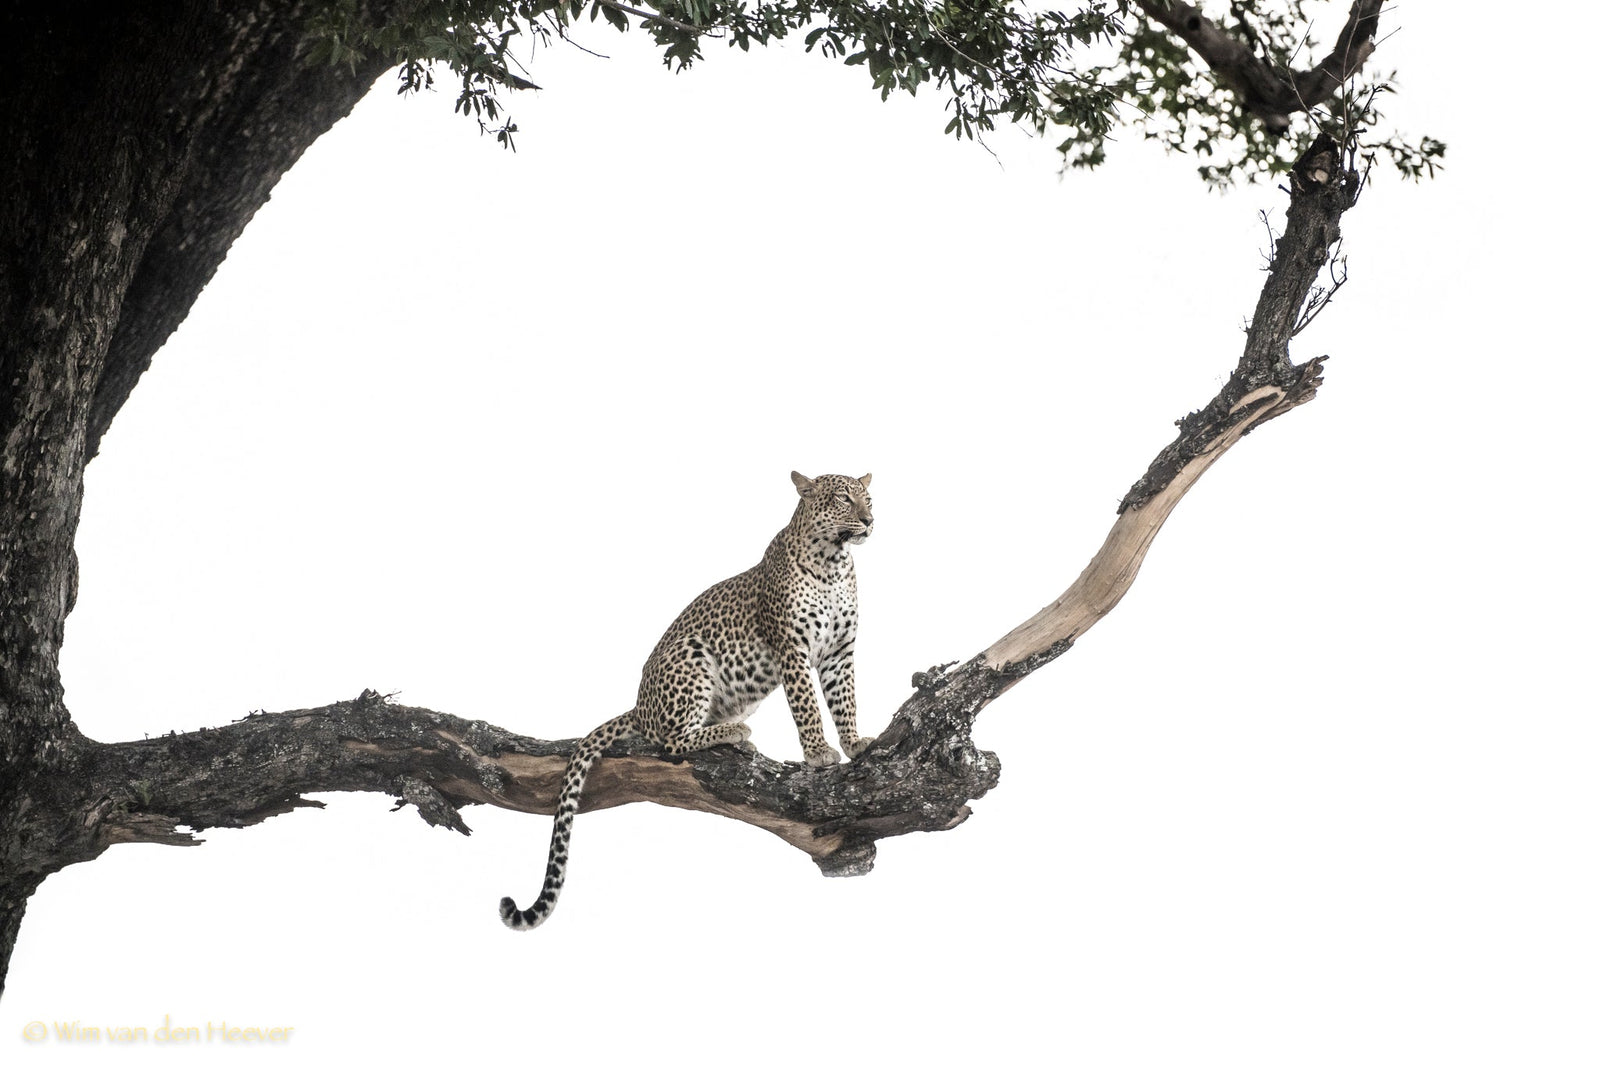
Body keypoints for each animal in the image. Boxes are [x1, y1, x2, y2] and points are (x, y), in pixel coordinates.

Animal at [500, 471, 875, 931]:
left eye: (869, 498)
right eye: (842, 499)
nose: (869, 520)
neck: (833, 564)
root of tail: (638, 706)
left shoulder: (840, 652)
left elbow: (845, 700)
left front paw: (854, 742)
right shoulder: (792, 648)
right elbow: (807, 706)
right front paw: (819, 752)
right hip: (690, 656)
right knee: (672, 741)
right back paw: (734, 732)